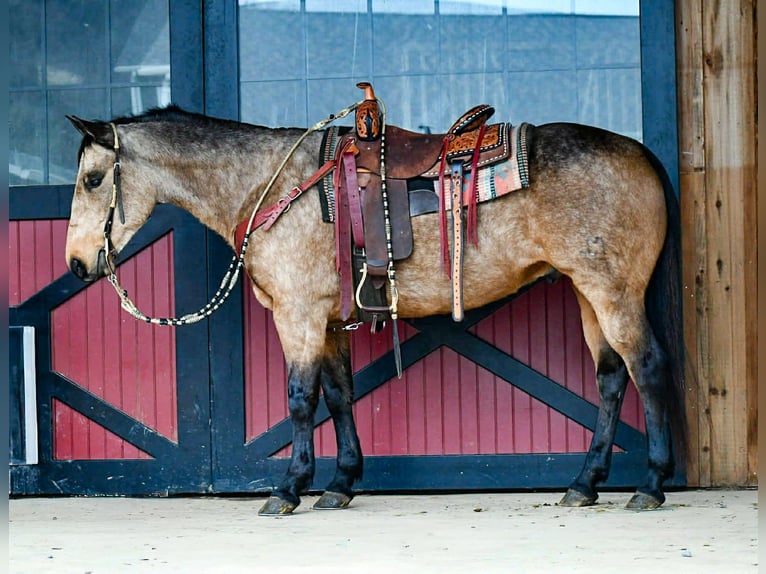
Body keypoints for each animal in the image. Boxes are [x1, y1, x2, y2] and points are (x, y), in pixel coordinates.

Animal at [64, 100, 685, 515]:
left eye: (93, 179)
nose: (75, 263)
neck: (269, 184)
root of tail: (640, 153)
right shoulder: (328, 320)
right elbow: (338, 395)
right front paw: (340, 484)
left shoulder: (297, 315)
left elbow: (300, 398)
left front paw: (289, 488)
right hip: (587, 292)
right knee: (611, 378)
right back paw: (585, 483)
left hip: (613, 291)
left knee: (647, 368)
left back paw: (651, 485)